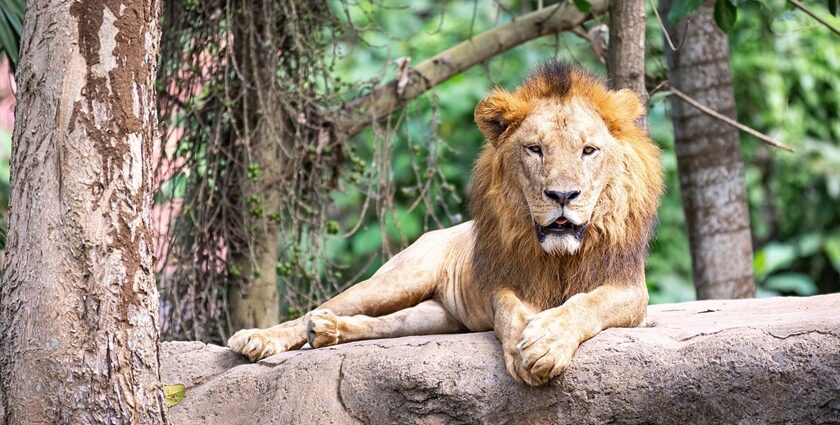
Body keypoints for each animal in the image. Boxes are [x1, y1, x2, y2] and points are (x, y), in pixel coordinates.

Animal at [228, 61, 664, 386]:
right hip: (400, 279)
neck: (559, 255)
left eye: (589, 151)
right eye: (535, 149)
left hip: (437, 316)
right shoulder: (503, 283)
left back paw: (328, 331)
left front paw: (546, 341)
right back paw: (261, 338)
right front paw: (528, 346)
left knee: (385, 324)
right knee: (324, 308)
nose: (562, 195)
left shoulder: (631, 290)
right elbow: (510, 311)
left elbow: (586, 303)